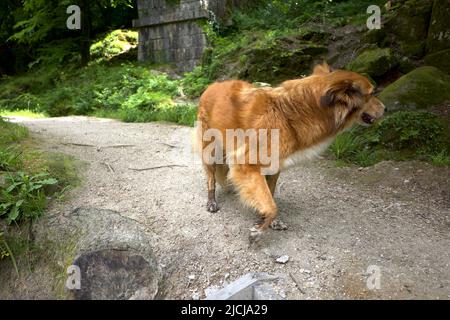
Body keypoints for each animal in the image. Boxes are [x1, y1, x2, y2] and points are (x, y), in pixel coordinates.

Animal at [196, 63, 384, 242]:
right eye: (372, 94)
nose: (386, 109)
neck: (289, 114)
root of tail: (213, 85)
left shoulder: (274, 167)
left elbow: (270, 197)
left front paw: (268, 221)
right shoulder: (247, 164)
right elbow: (271, 205)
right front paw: (259, 230)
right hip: (210, 149)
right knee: (211, 178)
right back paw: (211, 201)